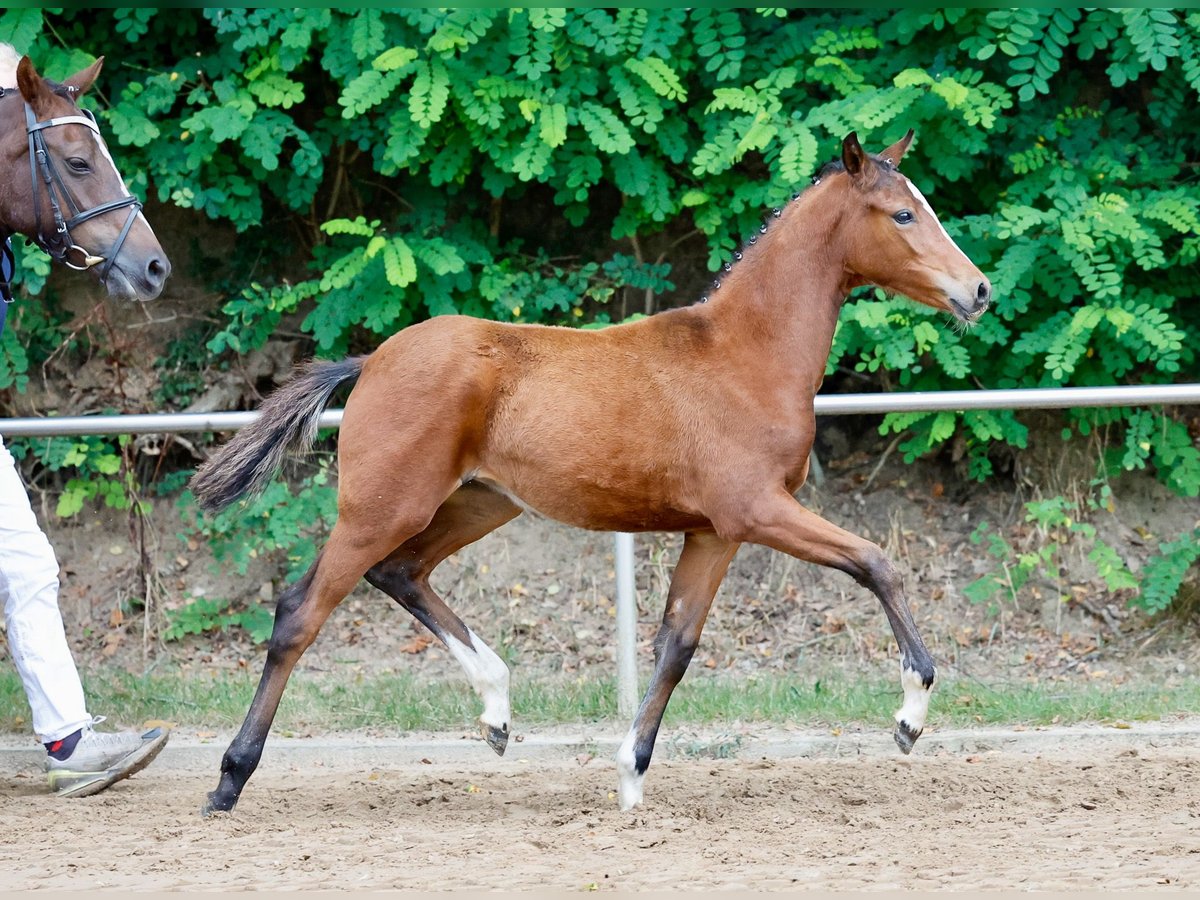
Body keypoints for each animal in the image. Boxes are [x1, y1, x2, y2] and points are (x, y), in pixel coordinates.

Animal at [192, 132, 988, 816]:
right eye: (903, 212)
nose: (978, 291)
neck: (744, 355)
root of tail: (373, 359)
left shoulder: (715, 533)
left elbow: (676, 646)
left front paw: (630, 777)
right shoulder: (757, 510)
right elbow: (876, 562)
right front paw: (910, 717)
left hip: (480, 505)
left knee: (402, 572)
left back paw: (497, 711)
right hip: (381, 507)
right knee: (302, 611)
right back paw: (229, 780)